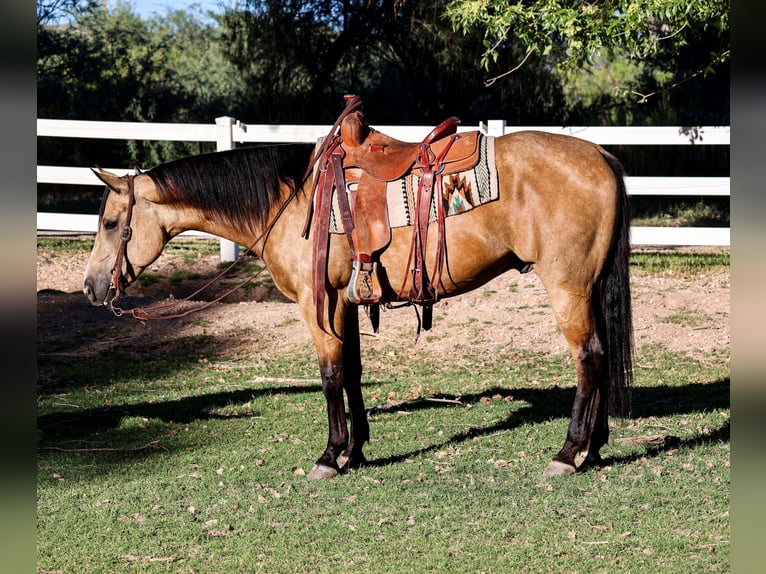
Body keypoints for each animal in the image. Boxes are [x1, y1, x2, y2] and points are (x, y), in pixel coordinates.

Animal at [84, 97, 636, 480]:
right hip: (586, 287)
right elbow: (351, 373)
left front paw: (329, 456)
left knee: (588, 357)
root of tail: (602, 155)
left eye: (111, 223)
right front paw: (356, 449)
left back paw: (568, 452)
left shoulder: (316, 304)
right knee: (603, 355)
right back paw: (595, 448)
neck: (289, 201)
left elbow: (329, 376)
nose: (90, 287)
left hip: (567, 287)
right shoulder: (343, 302)